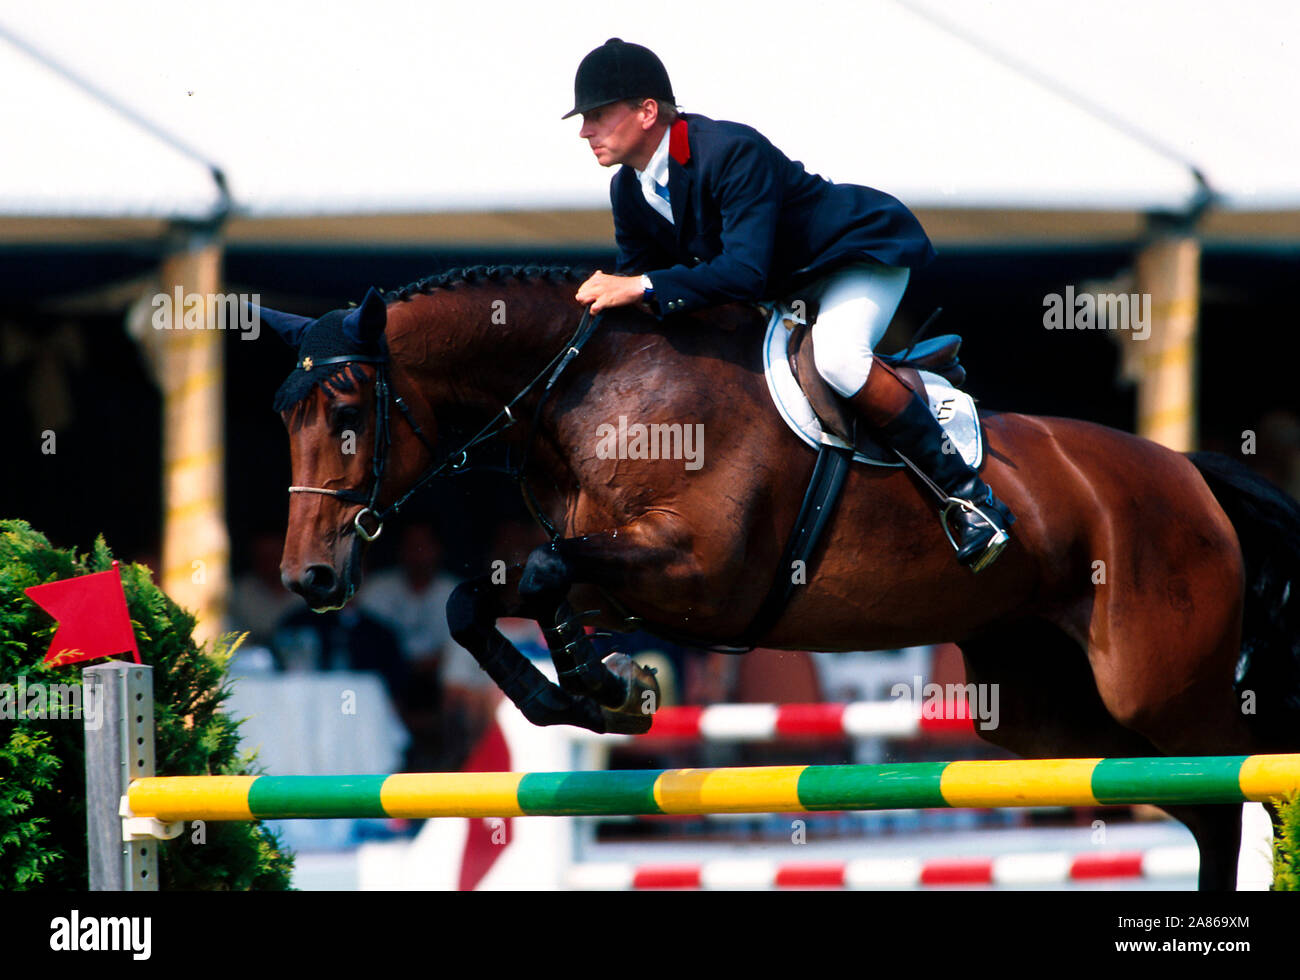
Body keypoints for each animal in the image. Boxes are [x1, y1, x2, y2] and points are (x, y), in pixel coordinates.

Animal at [266, 263, 1300, 889]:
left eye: (349, 412)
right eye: (287, 418)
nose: (308, 578)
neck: (585, 389)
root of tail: (1191, 474)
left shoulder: (698, 571)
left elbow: (546, 571)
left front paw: (609, 684)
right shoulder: (626, 571)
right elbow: (477, 599)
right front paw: (594, 691)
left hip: (1157, 688)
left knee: (1241, 777)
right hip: (1045, 711)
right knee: (1206, 806)